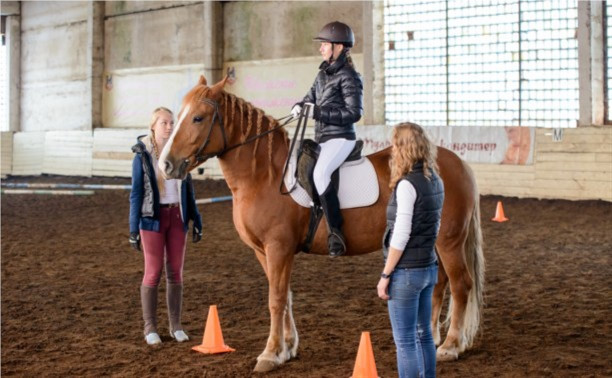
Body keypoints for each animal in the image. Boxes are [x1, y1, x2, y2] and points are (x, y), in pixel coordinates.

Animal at [160, 76, 486, 372]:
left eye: (198, 118)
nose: (165, 164)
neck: (265, 176)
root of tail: (458, 163)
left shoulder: (278, 249)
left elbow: (276, 299)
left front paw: (270, 354)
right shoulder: (263, 252)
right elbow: (286, 297)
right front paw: (288, 348)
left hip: (449, 241)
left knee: (461, 285)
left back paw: (450, 347)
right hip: (434, 242)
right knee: (438, 284)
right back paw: (432, 336)